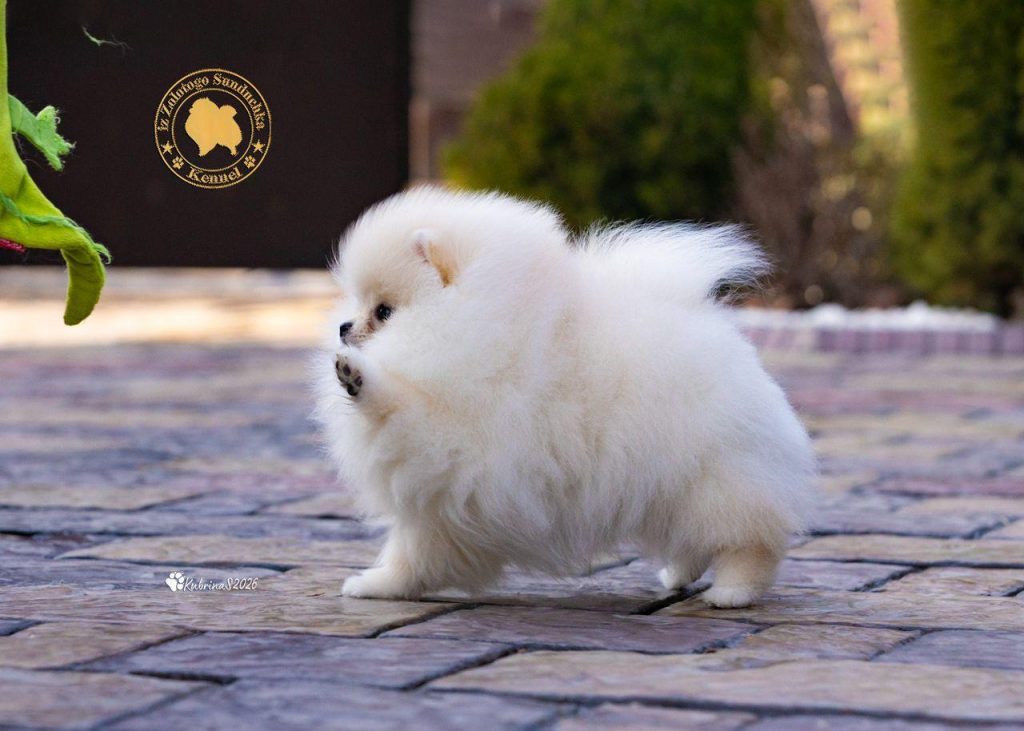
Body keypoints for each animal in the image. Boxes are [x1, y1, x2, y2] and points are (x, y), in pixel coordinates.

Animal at [313, 187, 816, 608]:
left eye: (384, 311)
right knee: (695, 538)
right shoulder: (443, 494)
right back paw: (676, 576)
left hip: (716, 479)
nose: (343, 327)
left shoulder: (448, 442)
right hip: (676, 486)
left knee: (751, 541)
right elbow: (412, 555)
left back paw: (732, 592)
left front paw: (359, 376)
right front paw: (377, 585)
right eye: (357, 303)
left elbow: (398, 408)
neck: (476, 320)